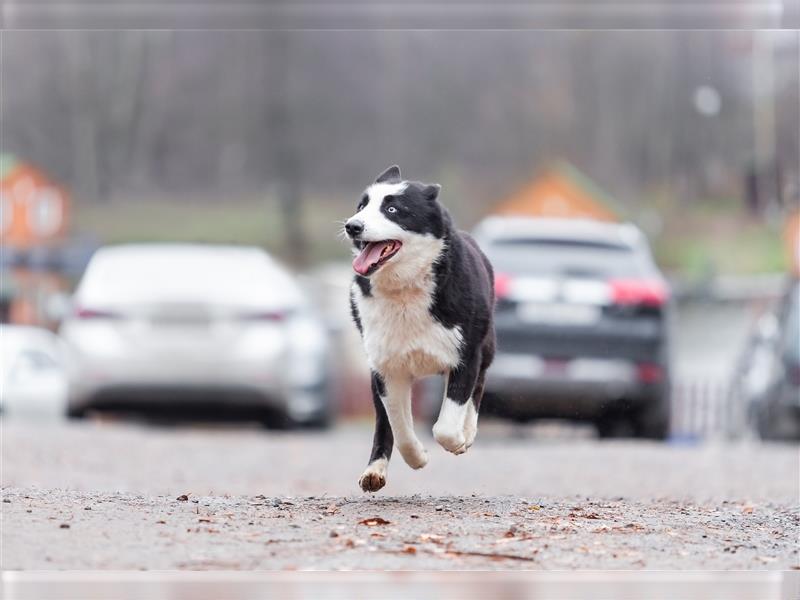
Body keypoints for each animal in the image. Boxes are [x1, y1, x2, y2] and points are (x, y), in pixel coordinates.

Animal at [344, 165, 494, 492]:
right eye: (361, 206)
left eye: (392, 209)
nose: (352, 226)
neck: (404, 289)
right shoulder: (387, 368)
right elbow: (399, 426)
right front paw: (419, 457)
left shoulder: (466, 355)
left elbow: (446, 427)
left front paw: (458, 440)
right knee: (383, 423)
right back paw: (374, 471)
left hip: (486, 347)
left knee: (477, 389)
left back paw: (468, 432)